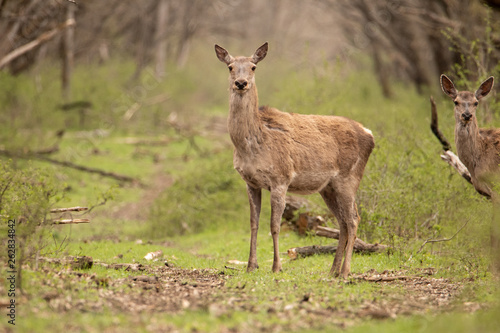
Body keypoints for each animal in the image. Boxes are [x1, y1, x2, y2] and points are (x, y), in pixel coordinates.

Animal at [215, 42, 376, 278]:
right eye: (230, 67)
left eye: (253, 67)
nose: (241, 83)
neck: (251, 145)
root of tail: (370, 134)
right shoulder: (250, 182)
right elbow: (253, 224)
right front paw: (251, 266)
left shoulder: (281, 178)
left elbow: (274, 226)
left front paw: (276, 266)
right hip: (328, 187)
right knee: (342, 222)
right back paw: (333, 270)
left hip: (349, 177)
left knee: (353, 219)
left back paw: (345, 272)